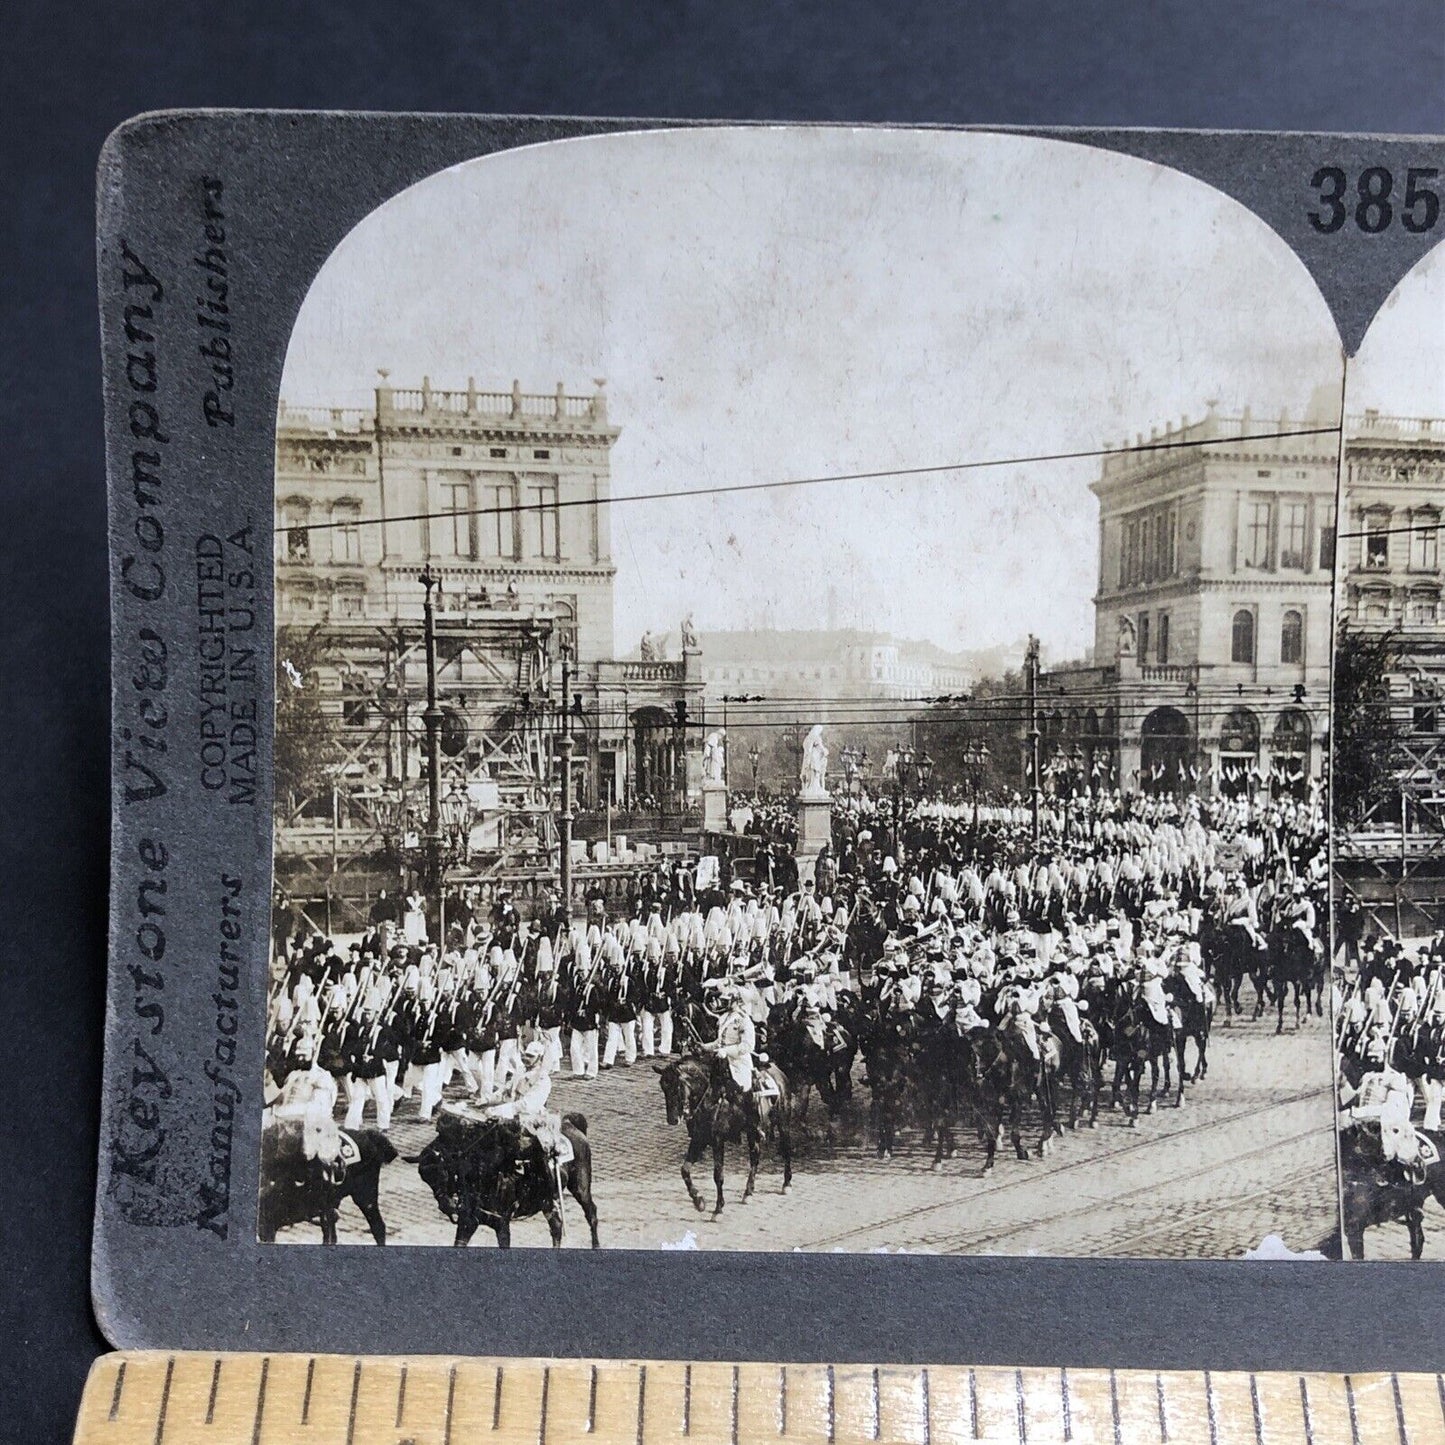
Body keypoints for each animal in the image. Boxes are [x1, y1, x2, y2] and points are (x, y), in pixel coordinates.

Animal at [413, 1109, 598, 1248]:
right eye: (425, 1178)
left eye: (444, 1171)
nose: (446, 1206)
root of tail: (571, 1123)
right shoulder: (467, 1223)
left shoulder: (502, 1225)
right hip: (547, 1201)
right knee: (556, 1226)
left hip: (580, 1188)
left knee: (591, 1214)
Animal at [656, 1057, 791, 1213]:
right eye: (663, 1087)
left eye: (677, 1086)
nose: (672, 1119)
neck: (710, 1100)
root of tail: (777, 1070)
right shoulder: (699, 1139)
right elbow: (684, 1170)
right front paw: (698, 1200)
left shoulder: (717, 1142)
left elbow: (718, 1176)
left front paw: (718, 1208)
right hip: (752, 1132)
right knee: (755, 1158)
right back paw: (748, 1192)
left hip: (782, 1122)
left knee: (786, 1149)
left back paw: (787, 1183)